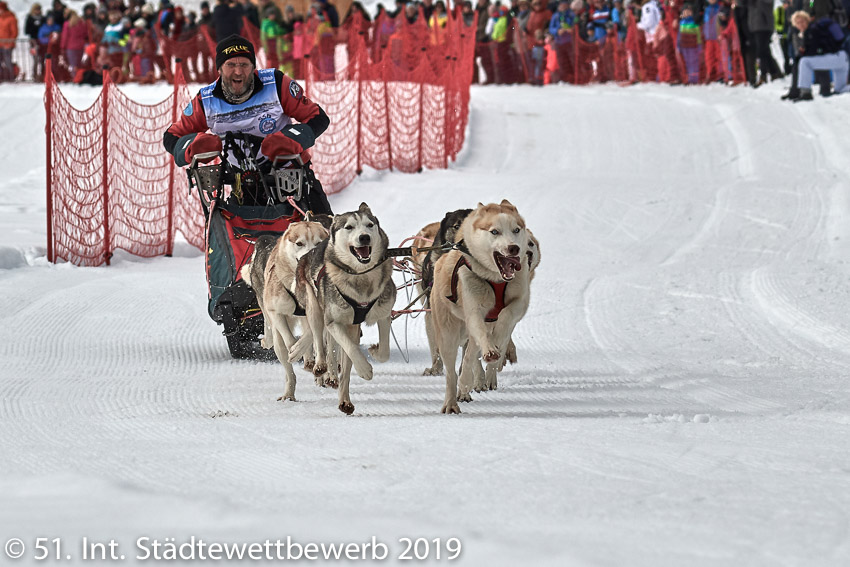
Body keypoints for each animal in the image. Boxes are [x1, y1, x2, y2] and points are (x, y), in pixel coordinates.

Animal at [290, 204, 396, 418]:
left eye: (369, 225)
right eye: (349, 227)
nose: (364, 237)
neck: (361, 277)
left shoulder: (384, 314)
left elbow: (385, 351)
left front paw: (374, 350)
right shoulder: (335, 321)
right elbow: (351, 347)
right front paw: (364, 369)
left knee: (343, 367)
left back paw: (344, 400)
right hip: (314, 307)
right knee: (317, 336)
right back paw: (319, 365)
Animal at [430, 202, 528, 414]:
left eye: (516, 230)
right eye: (495, 231)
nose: (513, 248)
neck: (495, 279)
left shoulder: (520, 302)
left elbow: (506, 314)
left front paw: (497, 342)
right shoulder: (474, 311)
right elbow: (482, 332)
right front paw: (491, 349)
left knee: (469, 358)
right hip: (449, 334)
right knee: (452, 373)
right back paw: (451, 402)